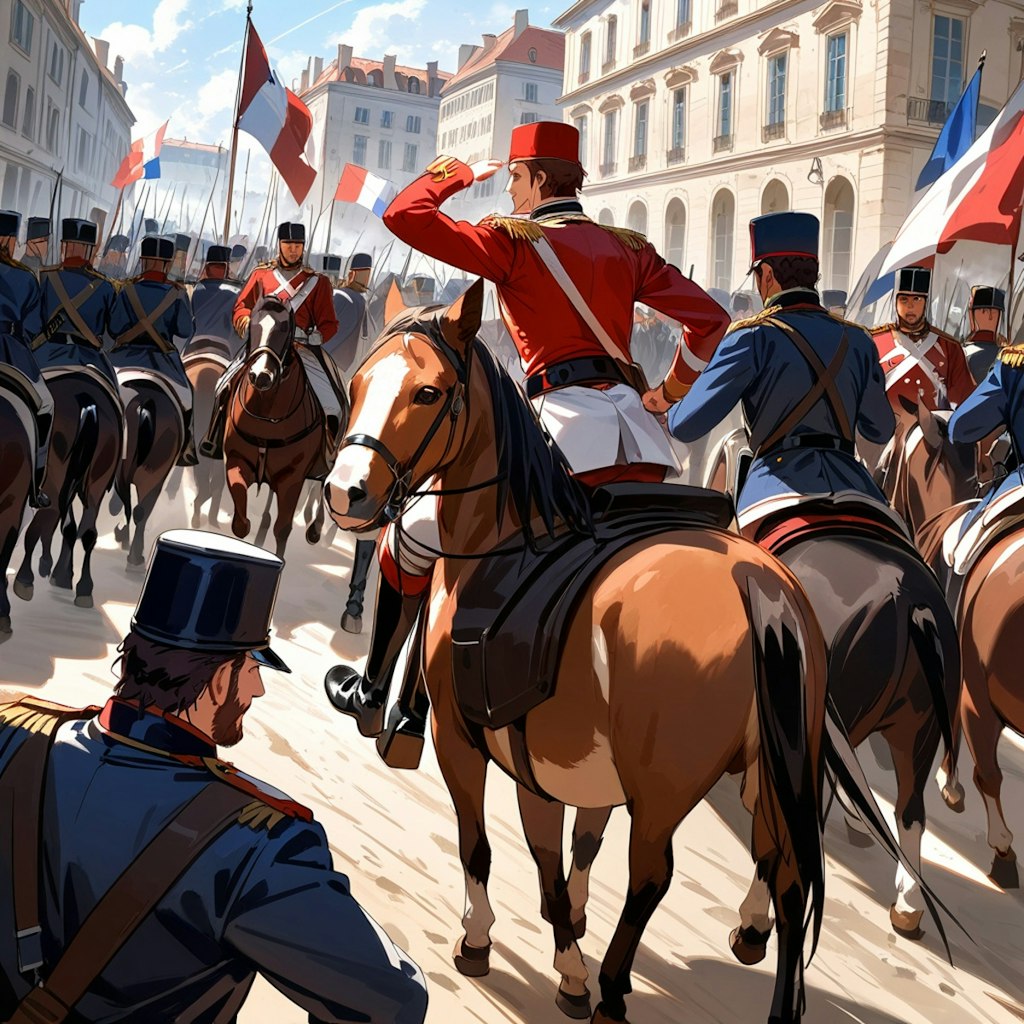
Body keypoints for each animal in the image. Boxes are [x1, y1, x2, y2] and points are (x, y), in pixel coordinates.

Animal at [14, 372, 120, 606]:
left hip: (56, 480)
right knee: (86, 532)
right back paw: (83, 588)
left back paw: (25, 579)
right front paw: (59, 572)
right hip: (95, 484)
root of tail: (88, 401)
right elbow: (67, 527)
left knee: (39, 526)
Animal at [226, 292, 333, 557]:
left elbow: (282, 528)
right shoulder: (235, 460)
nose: (261, 376)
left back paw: (315, 530)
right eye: (253, 325)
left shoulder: (292, 478)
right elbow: (240, 523)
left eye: (285, 329)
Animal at [327, 284, 831, 1024]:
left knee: (652, 876)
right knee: (786, 869)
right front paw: (568, 940)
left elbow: (481, 845)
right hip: (771, 769)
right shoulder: (553, 762)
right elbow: (564, 850)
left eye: (427, 392)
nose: (345, 493)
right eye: (359, 382)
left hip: (669, 786)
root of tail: (753, 580)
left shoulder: (462, 740)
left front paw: (491, 942)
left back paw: (612, 992)